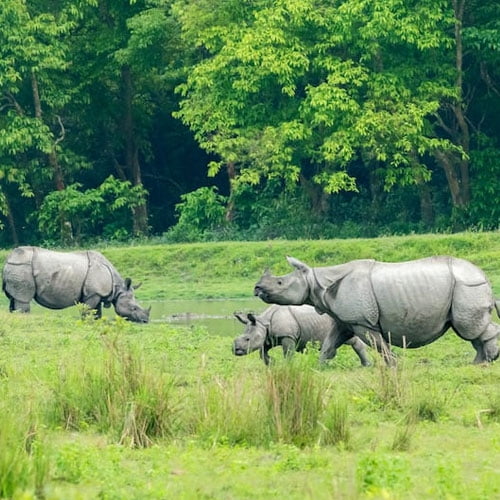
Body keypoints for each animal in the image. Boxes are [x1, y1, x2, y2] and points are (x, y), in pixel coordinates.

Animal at [232, 302, 370, 366]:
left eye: (247, 339)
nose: (235, 350)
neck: (263, 322)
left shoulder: (287, 335)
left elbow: (288, 353)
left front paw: (288, 366)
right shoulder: (269, 336)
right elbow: (262, 352)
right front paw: (272, 363)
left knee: (352, 340)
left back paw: (366, 365)